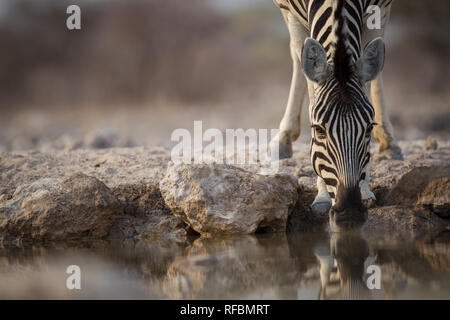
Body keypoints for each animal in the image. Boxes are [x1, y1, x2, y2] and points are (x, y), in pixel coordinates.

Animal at [270, 0, 400, 230]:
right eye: (318, 130)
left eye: (369, 128)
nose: (350, 210)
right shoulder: (291, 11)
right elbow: (310, 84)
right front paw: (322, 194)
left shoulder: (379, 8)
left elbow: (368, 79)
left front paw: (364, 188)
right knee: (296, 55)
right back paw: (284, 138)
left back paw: (389, 142)